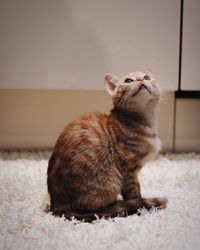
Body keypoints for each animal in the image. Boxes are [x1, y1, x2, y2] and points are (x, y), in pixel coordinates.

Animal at [46, 71, 167, 222]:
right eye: (128, 80)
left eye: (146, 77)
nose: (140, 79)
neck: (144, 121)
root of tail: (57, 206)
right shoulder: (128, 171)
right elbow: (134, 194)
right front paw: (140, 208)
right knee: (98, 211)